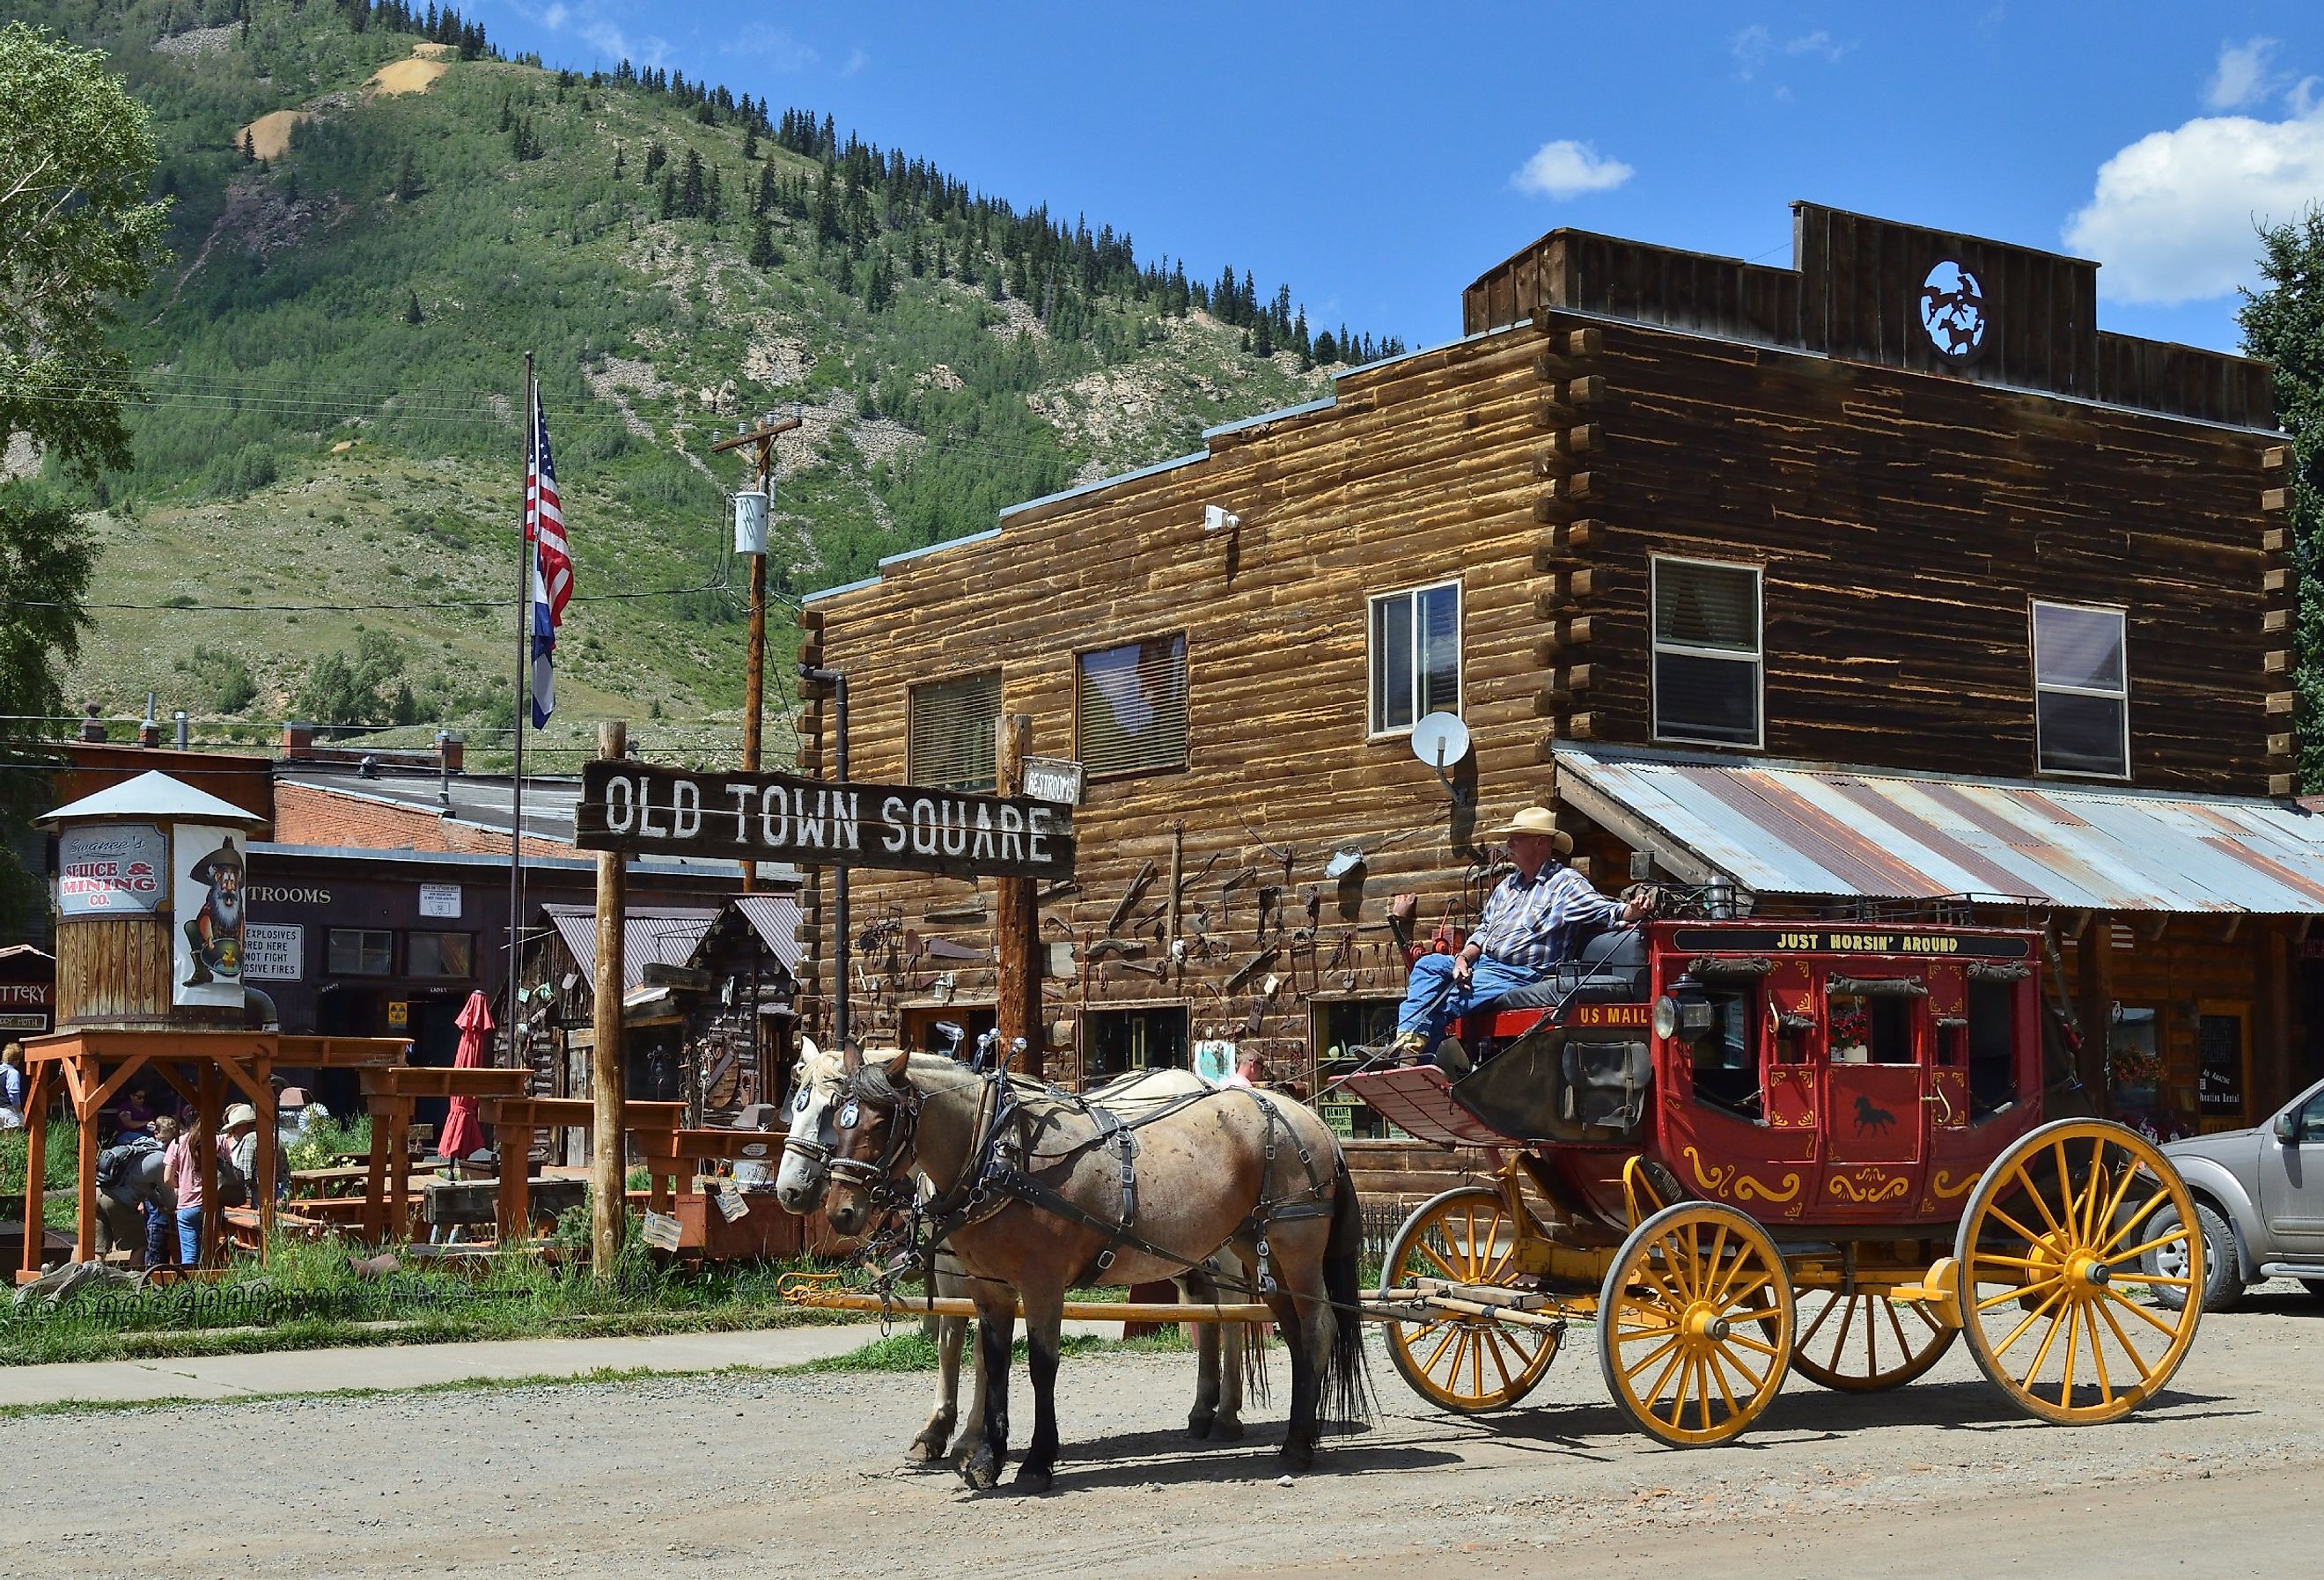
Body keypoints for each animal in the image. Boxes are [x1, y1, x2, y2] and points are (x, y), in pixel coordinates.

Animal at [818, 1055, 1366, 1487]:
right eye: (836, 1122)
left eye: (879, 1123)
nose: (839, 1211)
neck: (1001, 1153)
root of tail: (1312, 1121)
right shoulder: (991, 1289)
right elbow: (994, 1363)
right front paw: (987, 1459)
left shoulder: (1042, 1284)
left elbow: (1041, 1366)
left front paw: (1037, 1463)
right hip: (1260, 1253)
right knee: (1292, 1334)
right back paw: (1290, 1430)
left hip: (1294, 1250)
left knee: (1316, 1329)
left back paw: (1297, 1445)